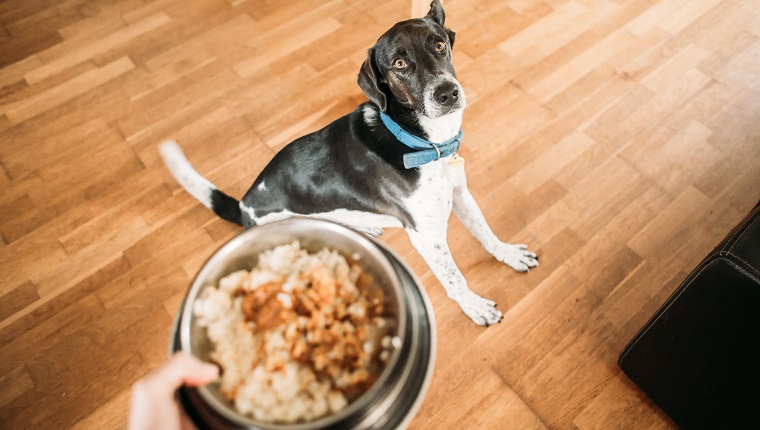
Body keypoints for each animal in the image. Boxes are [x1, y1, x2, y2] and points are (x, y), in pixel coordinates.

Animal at [162, 0, 536, 324]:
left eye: (440, 44)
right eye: (399, 64)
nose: (447, 93)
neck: (420, 140)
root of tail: (245, 205)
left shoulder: (460, 194)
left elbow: (485, 232)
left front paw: (509, 254)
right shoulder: (426, 236)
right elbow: (454, 277)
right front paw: (475, 308)